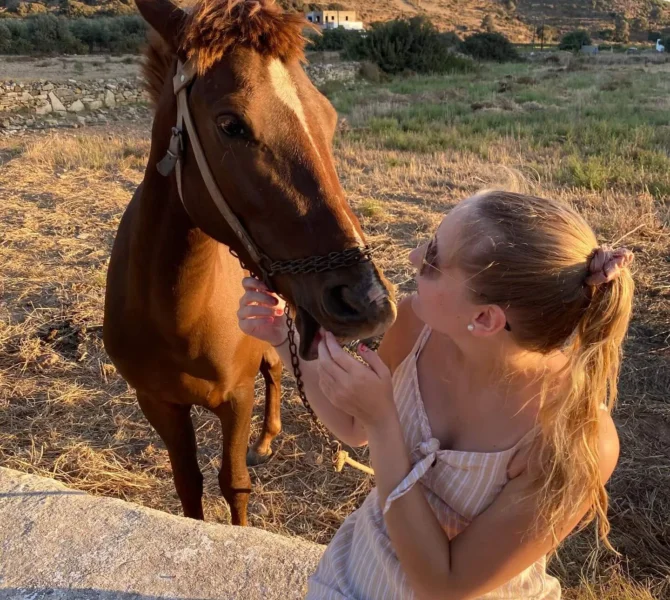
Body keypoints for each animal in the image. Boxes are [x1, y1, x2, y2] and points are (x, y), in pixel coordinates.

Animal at [103, 0, 397, 526]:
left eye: (329, 118)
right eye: (230, 124)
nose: (367, 300)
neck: (174, 315)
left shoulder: (236, 397)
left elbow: (234, 482)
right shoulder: (157, 402)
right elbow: (188, 482)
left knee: (276, 369)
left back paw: (267, 438)